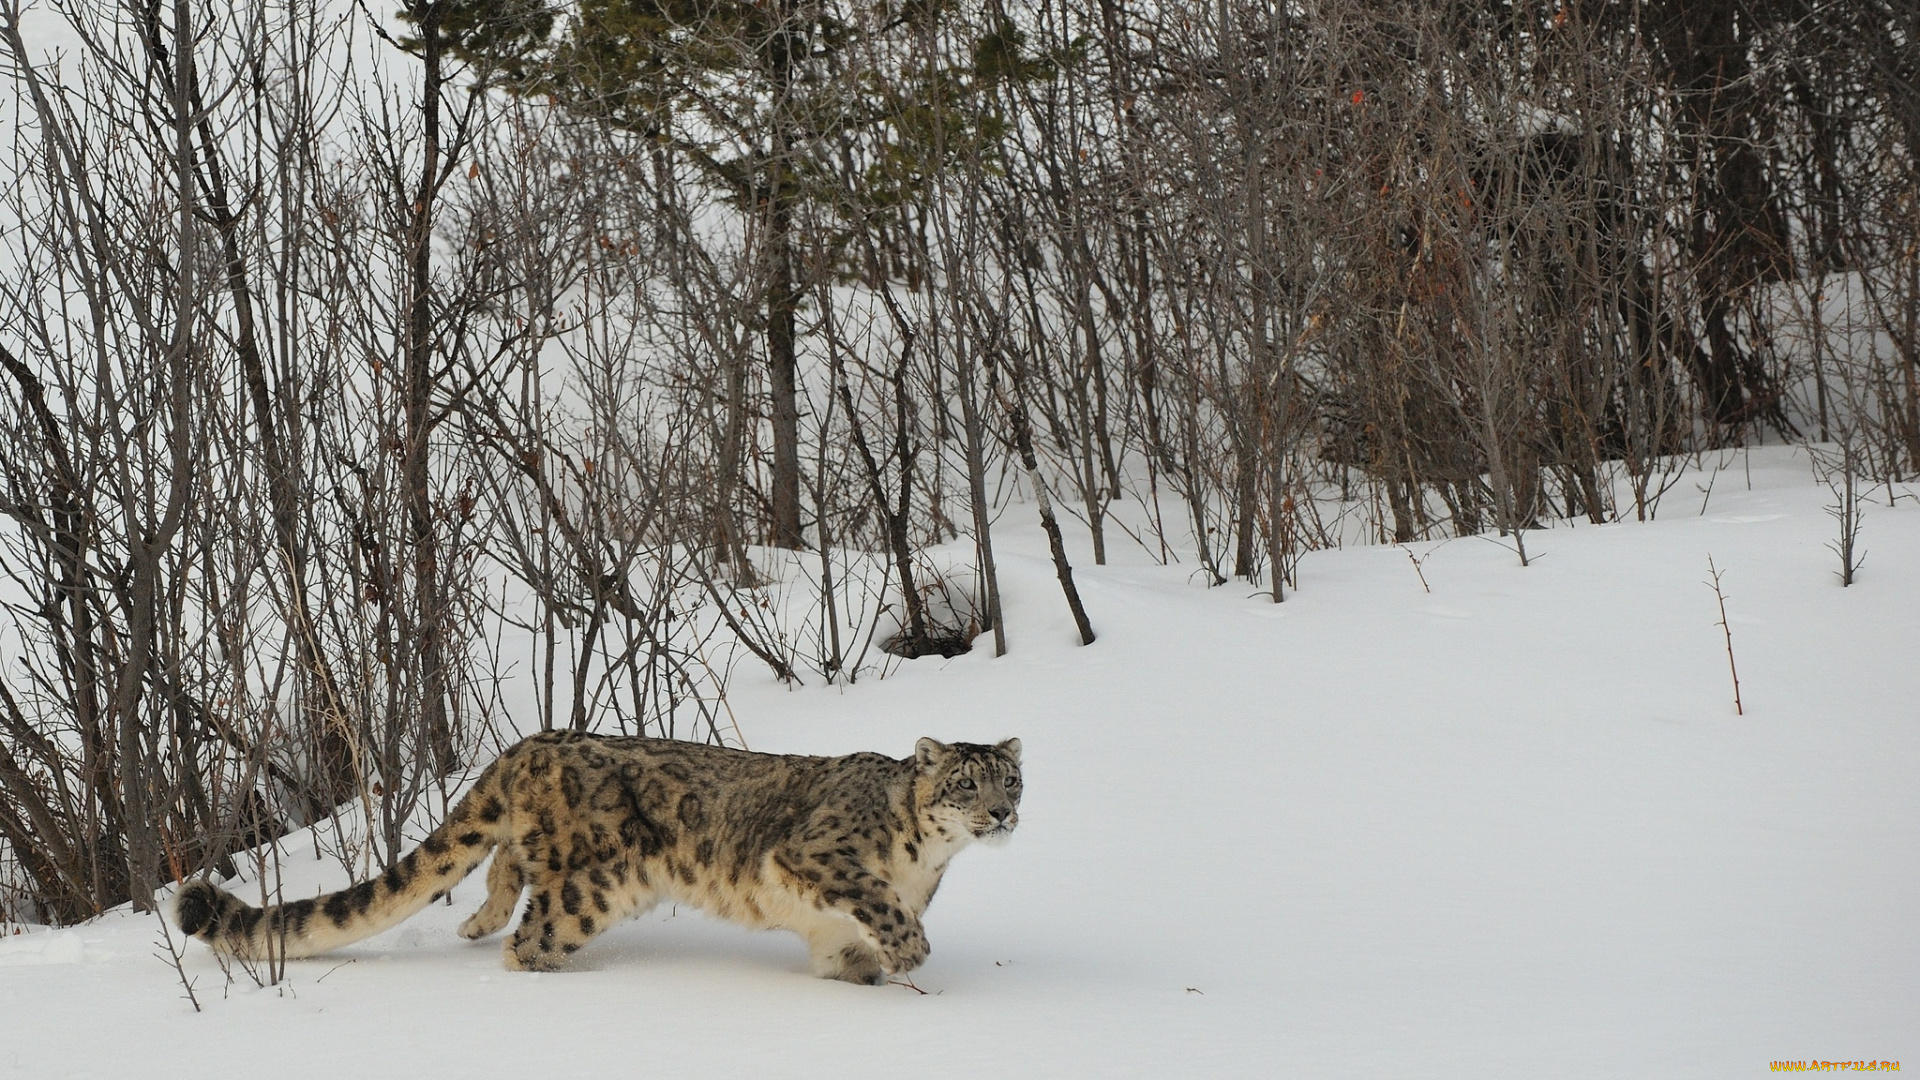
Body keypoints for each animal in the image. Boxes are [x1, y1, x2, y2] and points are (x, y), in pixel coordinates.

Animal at [168, 726, 1021, 980]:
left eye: (1010, 777)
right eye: (966, 781)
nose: (1004, 812)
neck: (927, 864)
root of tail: (528, 744)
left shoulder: (834, 933)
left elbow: (850, 956)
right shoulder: (821, 857)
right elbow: (875, 899)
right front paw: (911, 949)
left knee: (502, 864)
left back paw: (475, 920)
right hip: (593, 886)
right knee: (530, 937)